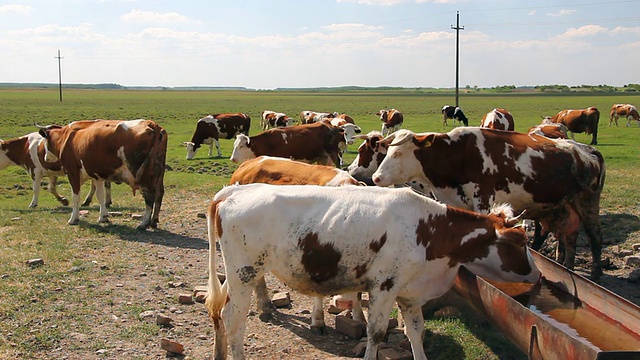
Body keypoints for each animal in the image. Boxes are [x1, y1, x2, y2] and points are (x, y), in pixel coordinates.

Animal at [36, 119, 168, 229]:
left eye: (45, 141)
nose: (45, 157)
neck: (66, 136)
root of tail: (151, 124)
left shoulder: (73, 172)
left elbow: (76, 196)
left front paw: (74, 219)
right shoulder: (97, 176)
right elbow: (100, 195)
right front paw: (103, 217)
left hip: (141, 175)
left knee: (149, 196)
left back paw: (144, 223)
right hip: (158, 174)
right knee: (159, 194)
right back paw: (154, 221)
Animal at [205, 184, 540, 358]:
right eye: (520, 242)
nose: (538, 277)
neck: (428, 229)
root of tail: (234, 191)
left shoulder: (410, 294)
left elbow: (415, 332)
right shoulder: (384, 287)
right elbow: (376, 333)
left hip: (238, 276)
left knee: (221, 313)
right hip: (244, 274)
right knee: (233, 320)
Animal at [370, 127, 604, 278]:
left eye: (398, 153)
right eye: (387, 152)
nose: (376, 178)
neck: (456, 155)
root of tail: (587, 150)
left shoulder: (483, 199)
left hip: (588, 202)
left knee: (595, 236)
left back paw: (595, 272)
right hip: (564, 207)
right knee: (569, 237)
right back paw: (567, 266)